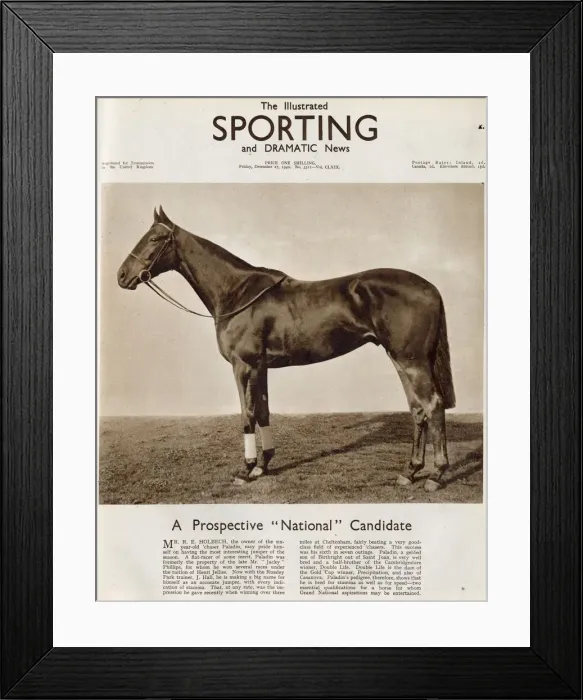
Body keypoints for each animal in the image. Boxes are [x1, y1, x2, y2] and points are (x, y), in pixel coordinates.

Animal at [117, 206, 456, 492]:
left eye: (155, 238)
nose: (122, 275)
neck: (238, 293)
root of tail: (431, 288)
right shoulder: (261, 367)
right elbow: (264, 411)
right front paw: (263, 465)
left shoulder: (243, 365)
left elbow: (247, 414)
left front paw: (247, 469)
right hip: (400, 359)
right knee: (418, 409)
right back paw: (410, 471)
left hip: (411, 360)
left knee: (433, 405)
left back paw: (436, 474)